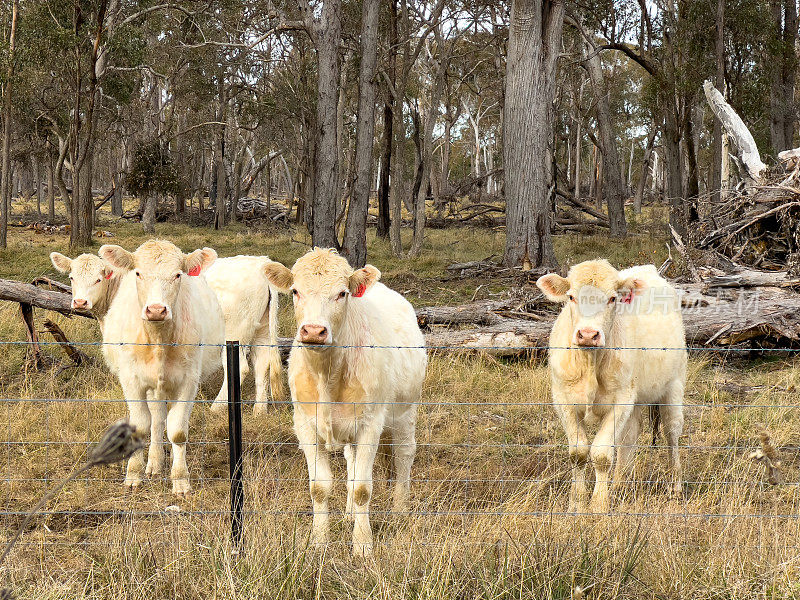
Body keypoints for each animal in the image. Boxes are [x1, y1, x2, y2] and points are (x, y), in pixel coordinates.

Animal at [101, 239, 225, 496]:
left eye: (178, 275)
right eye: (138, 273)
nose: (157, 309)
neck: (158, 338)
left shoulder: (188, 382)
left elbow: (177, 431)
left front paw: (180, 480)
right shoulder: (131, 380)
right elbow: (140, 426)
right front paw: (133, 475)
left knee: (160, 419)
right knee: (156, 421)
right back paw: (154, 463)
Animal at [203, 255, 288, 414]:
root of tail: (262, 262)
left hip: (233, 331)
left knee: (241, 367)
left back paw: (216, 407)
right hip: (263, 329)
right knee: (262, 362)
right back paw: (259, 411)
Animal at [262, 248, 424, 556]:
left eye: (342, 293)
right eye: (295, 291)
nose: (314, 331)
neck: (327, 375)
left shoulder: (371, 424)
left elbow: (363, 488)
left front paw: (362, 545)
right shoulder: (305, 425)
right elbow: (319, 487)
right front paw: (319, 541)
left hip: (406, 409)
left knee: (404, 455)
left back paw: (400, 510)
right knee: (351, 460)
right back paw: (349, 513)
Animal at [536, 258, 684, 510]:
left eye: (613, 298)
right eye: (571, 297)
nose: (588, 334)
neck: (590, 364)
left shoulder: (621, 400)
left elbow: (602, 454)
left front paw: (598, 505)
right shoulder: (563, 399)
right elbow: (578, 453)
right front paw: (577, 502)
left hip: (674, 386)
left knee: (671, 434)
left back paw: (675, 488)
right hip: (636, 399)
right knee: (629, 438)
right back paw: (620, 485)